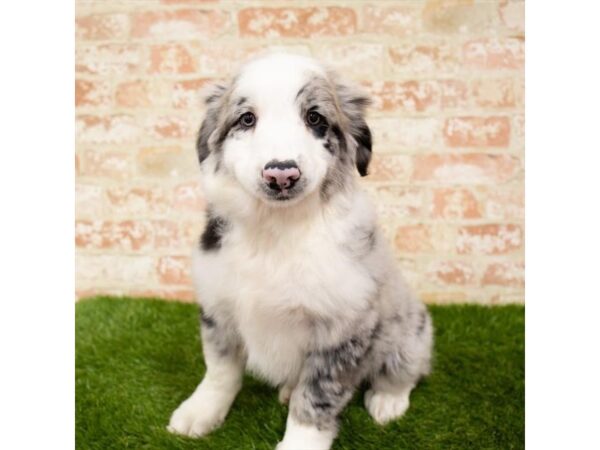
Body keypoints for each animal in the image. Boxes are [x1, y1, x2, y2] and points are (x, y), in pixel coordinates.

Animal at [166, 53, 434, 450]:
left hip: (410, 329)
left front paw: (300, 442)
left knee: (405, 369)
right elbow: (219, 371)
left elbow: (317, 398)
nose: (281, 174)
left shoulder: (341, 328)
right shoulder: (218, 307)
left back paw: (388, 401)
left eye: (315, 118)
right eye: (247, 119)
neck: (277, 230)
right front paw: (199, 413)